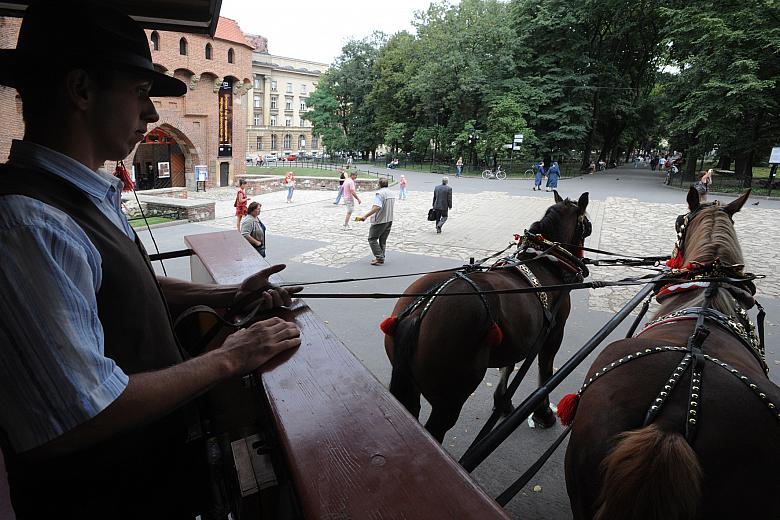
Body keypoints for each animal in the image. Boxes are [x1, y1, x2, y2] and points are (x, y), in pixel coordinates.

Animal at [384, 191, 592, 442]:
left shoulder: (520, 332)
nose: (580, 264)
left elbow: (508, 366)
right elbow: (545, 371)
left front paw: (502, 401)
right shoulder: (553, 333)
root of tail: (419, 312)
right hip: (448, 401)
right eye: (587, 228)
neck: (543, 263)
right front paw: (543, 413)